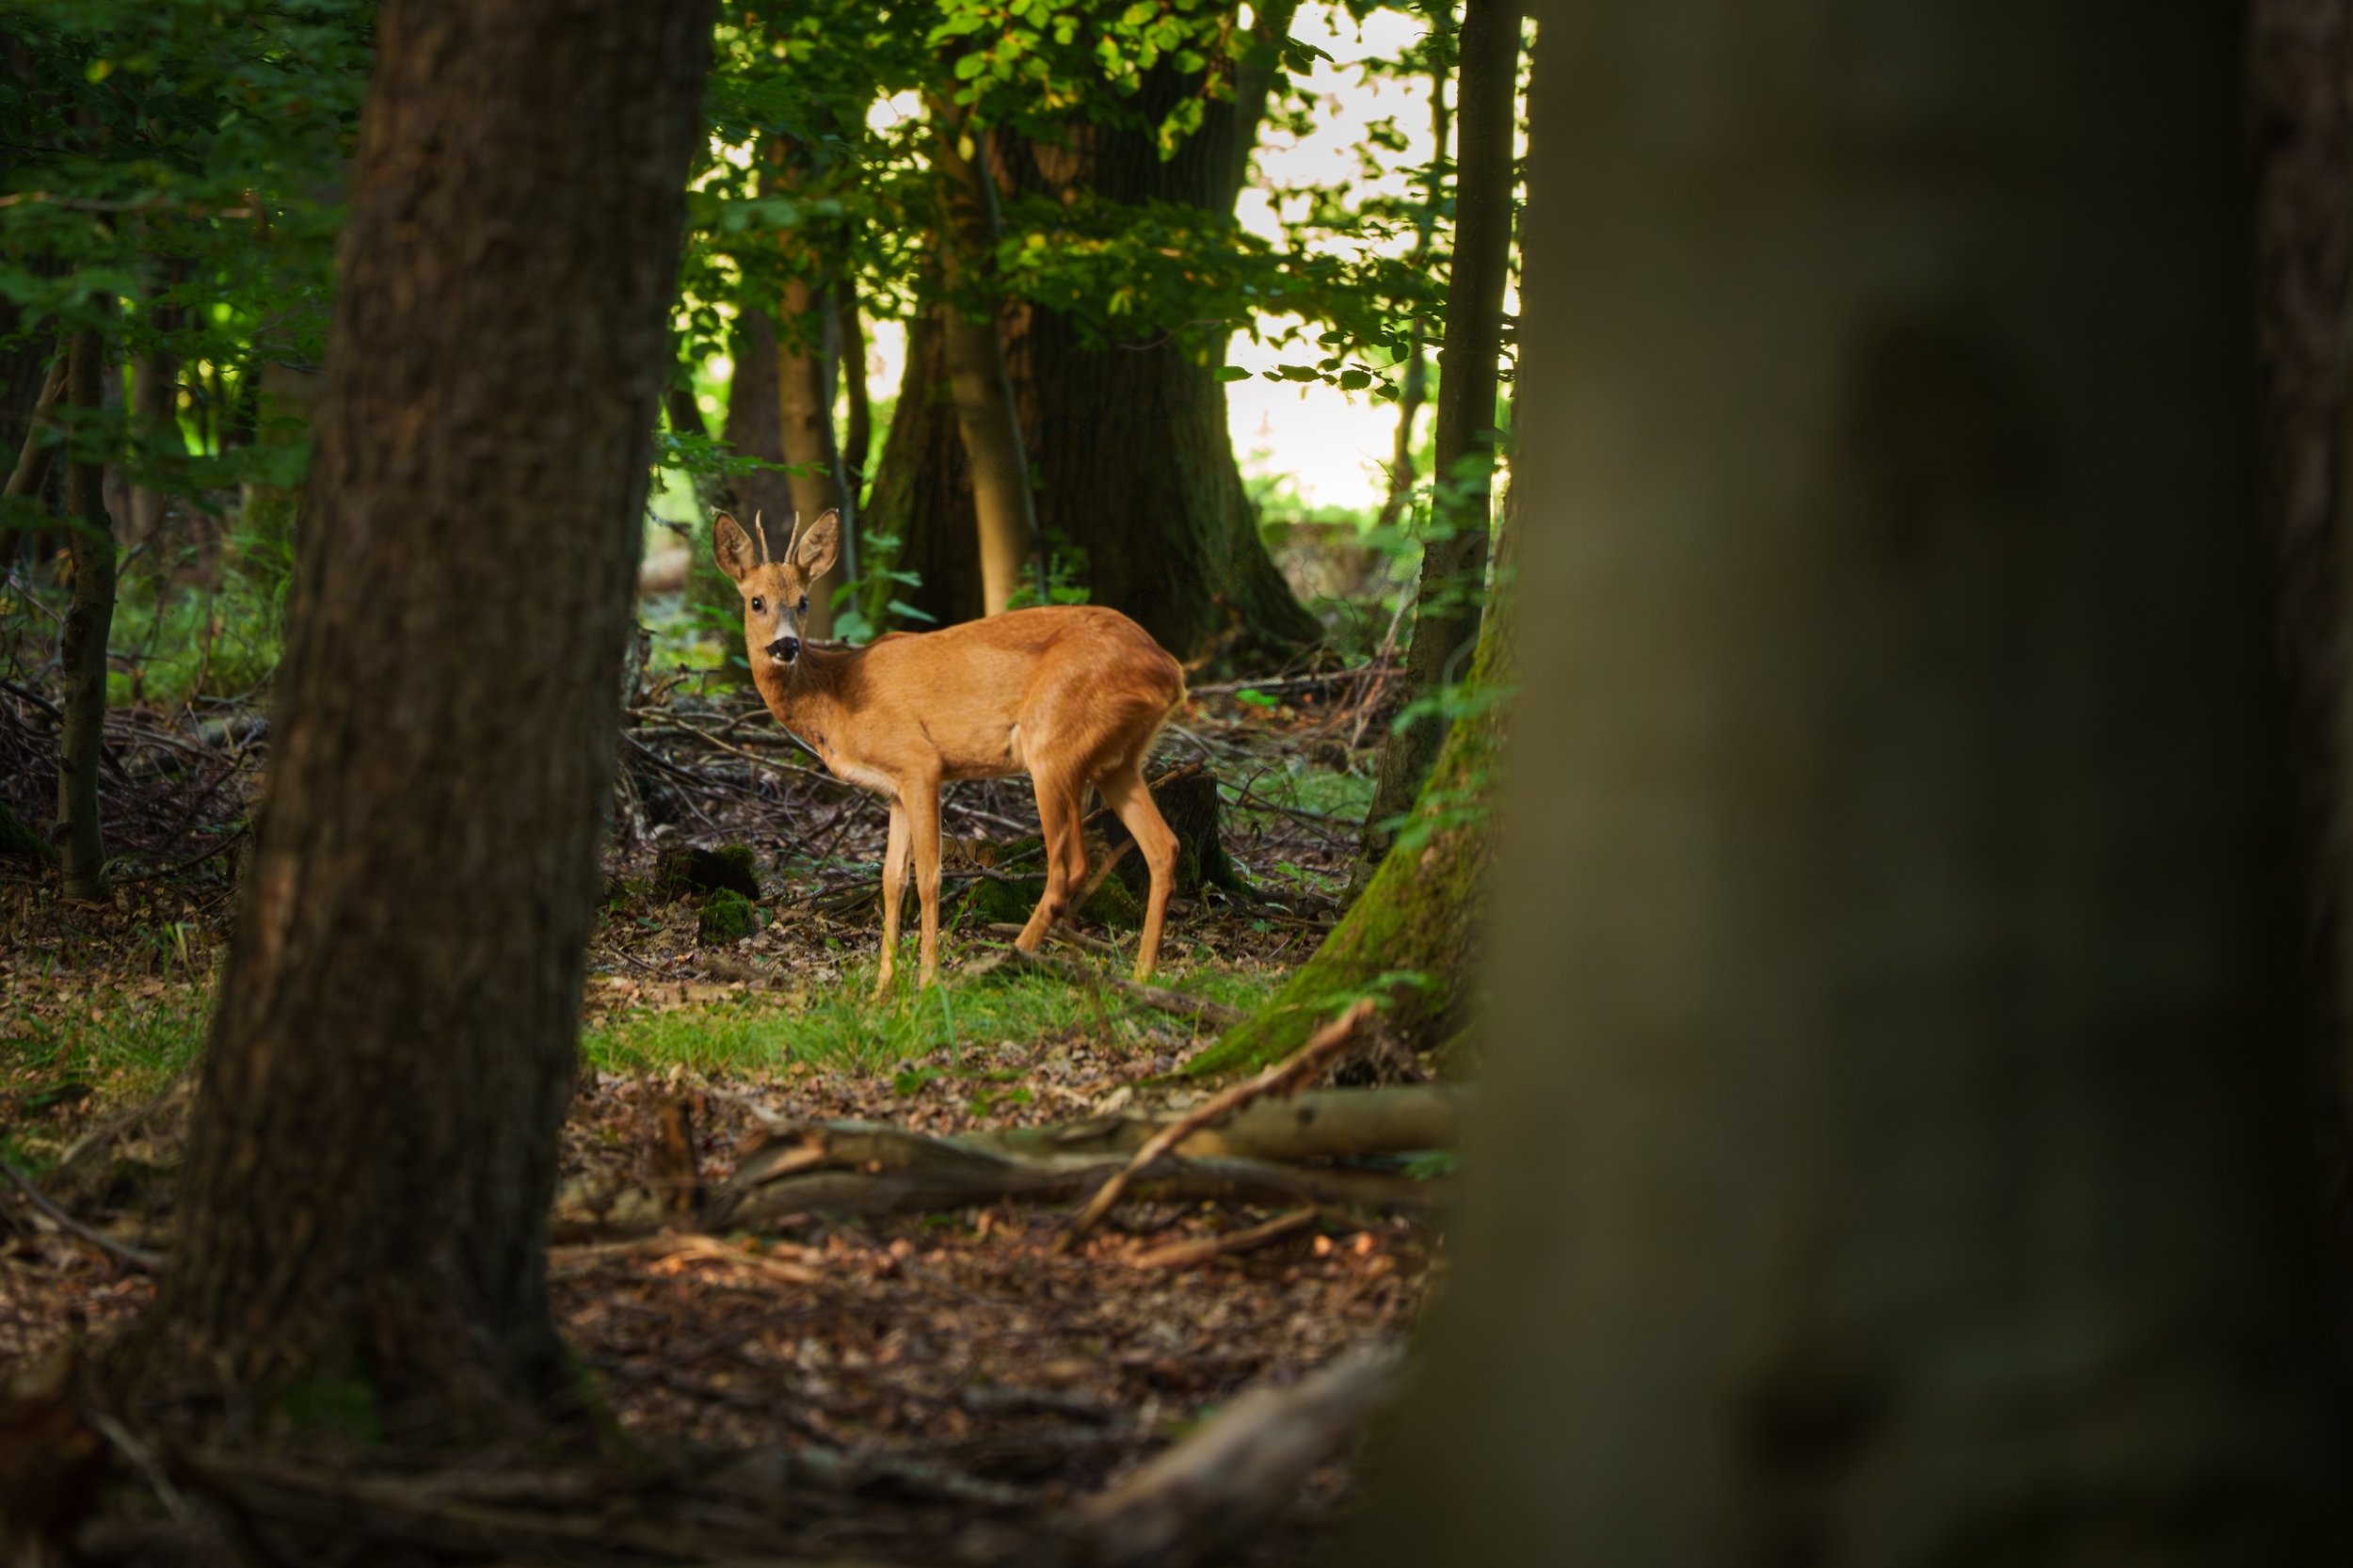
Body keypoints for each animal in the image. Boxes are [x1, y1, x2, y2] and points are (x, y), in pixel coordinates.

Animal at [713, 509, 1188, 998]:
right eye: (756, 601)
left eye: (804, 601)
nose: (785, 646)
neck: (838, 696)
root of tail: (1171, 671)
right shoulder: (895, 788)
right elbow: (891, 880)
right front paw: (882, 989)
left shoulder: (920, 762)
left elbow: (929, 875)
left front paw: (926, 981)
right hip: (1117, 762)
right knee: (1163, 847)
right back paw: (1142, 976)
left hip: (1052, 746)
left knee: (1068, 866)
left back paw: (1001, 964)